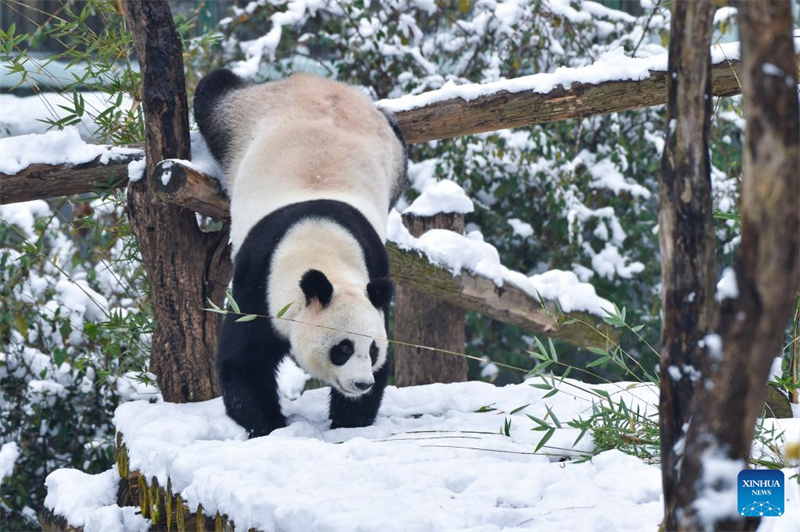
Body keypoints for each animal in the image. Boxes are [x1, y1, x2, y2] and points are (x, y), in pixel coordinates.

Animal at [193, 69, 406, 436]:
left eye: (372, 348)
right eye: (343, 349)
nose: (361, 383)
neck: (319, 246)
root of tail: (322, 83)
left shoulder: (373, 266)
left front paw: (349, 421)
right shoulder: (257, 280)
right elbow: (244, 360)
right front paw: (268, 424)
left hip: (393, 155)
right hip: (243, 115)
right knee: (214, 93)